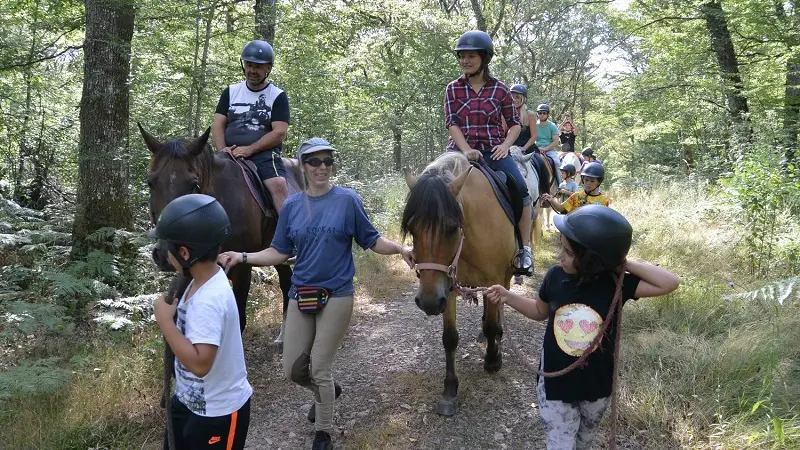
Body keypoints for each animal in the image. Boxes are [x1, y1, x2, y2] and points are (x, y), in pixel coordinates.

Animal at [400, 153, 520, 416]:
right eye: (412, 228)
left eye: (452, 227)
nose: (428, 302)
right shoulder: (448, 288)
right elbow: (450, 338)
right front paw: (449, 389)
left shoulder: (494, 279)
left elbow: (493, 325)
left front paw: (493, 360)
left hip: (505, 275)